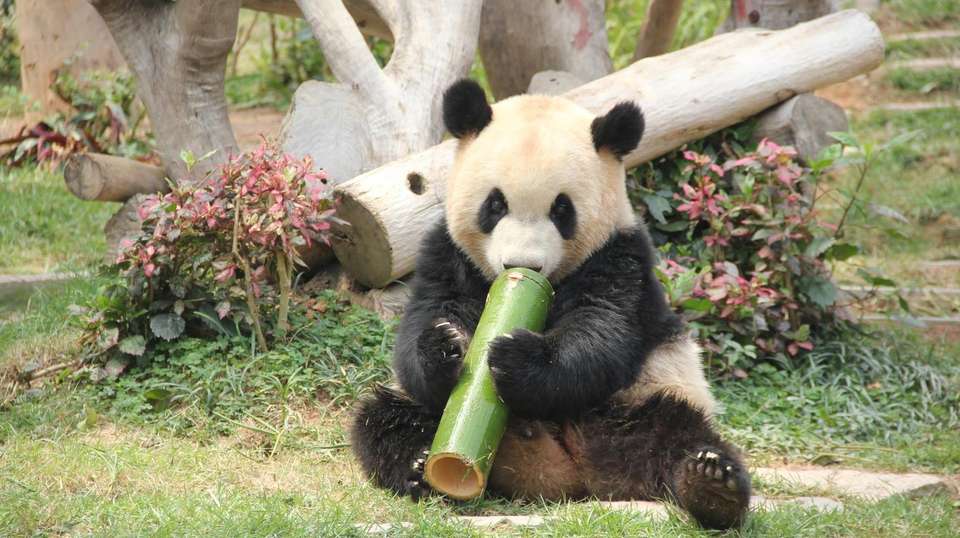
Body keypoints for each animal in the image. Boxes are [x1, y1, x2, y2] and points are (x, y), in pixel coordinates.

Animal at [351, 79, 752, 530]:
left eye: (562, 209)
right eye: (495, 204)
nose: (522, 265)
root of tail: (565, 474)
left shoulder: (621, 256)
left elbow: (602, 330)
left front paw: (516, 356)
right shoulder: (447, 253)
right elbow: (425, 320)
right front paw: (444, 345)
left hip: (644, 399)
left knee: (678, 437)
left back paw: (711, 483)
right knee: (381, 421)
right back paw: (418, 467)